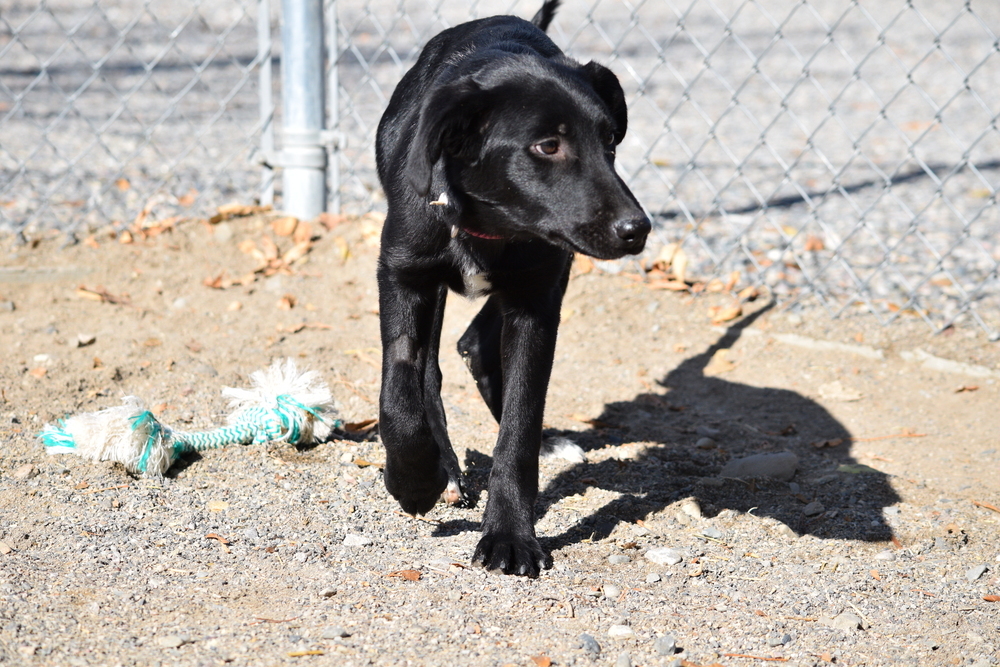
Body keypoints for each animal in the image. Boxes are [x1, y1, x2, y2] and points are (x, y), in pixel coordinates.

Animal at [374, 0, 648, 576]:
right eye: (548, 145)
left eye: (610, 142)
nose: (637, 229)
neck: (489, 226)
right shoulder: (402, 274)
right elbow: (400, 389)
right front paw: (414, 480)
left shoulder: (536, 300)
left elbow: (519, 426)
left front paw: (509, 535)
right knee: (430, 369)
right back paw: (443, 471)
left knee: (476, 343)